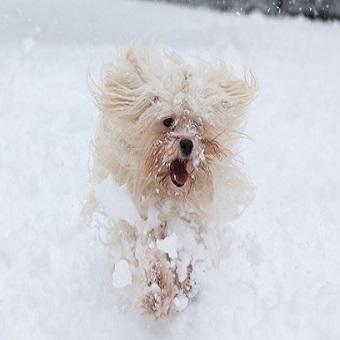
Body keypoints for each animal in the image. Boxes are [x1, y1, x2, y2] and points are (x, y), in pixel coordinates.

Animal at [86, 45, 256, 318]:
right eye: (168, 121)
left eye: (197, 123)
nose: (187, 143)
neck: (170, 196)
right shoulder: (145, 222)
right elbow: (154, 257)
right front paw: (157, 295)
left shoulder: (194, 222)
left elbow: (191, 256)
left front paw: (185, 284)